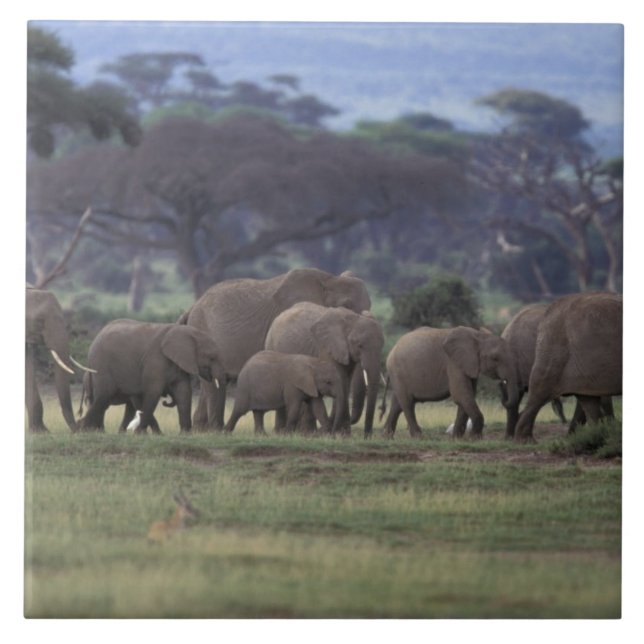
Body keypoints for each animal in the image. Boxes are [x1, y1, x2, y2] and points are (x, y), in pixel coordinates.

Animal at [79, 319, 225, 433]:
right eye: (212, 358)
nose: (166, 401)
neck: (187, 332)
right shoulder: (155, 360)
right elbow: (153, 393)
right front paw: (142, 434)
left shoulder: (178, 363)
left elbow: (183, 392)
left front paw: (185, 434)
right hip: (101, 365)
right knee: (103, 396)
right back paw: (82, 430)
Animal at [180, 268, 371, 430]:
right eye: (346, 306)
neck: (330, 279)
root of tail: (193, 306)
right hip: (202, 329)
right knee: (212, 383)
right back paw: (215, 429)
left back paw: (201, 429)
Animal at [265, 302, 385, 437]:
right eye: (359, 345)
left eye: (382, 346)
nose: (366, 436)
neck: (352, 318)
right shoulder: (327, 347)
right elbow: (339, 379)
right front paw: (339, 434)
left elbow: (346, 382)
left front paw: (344, 435)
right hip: (271, 344)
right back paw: (283, 433)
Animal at [382, 326, 519, 438]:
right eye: (495, 358)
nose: (501, 384)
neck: (477, 335)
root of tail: (391, 351)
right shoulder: (453, 364)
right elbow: (461, 395)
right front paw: (475, 438)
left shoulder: (468, 365)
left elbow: (467, 397)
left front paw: (456, 438)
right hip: (398, 372)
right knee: (408, 403)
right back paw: (418, 437)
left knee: (397, 405)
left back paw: (387, 437)